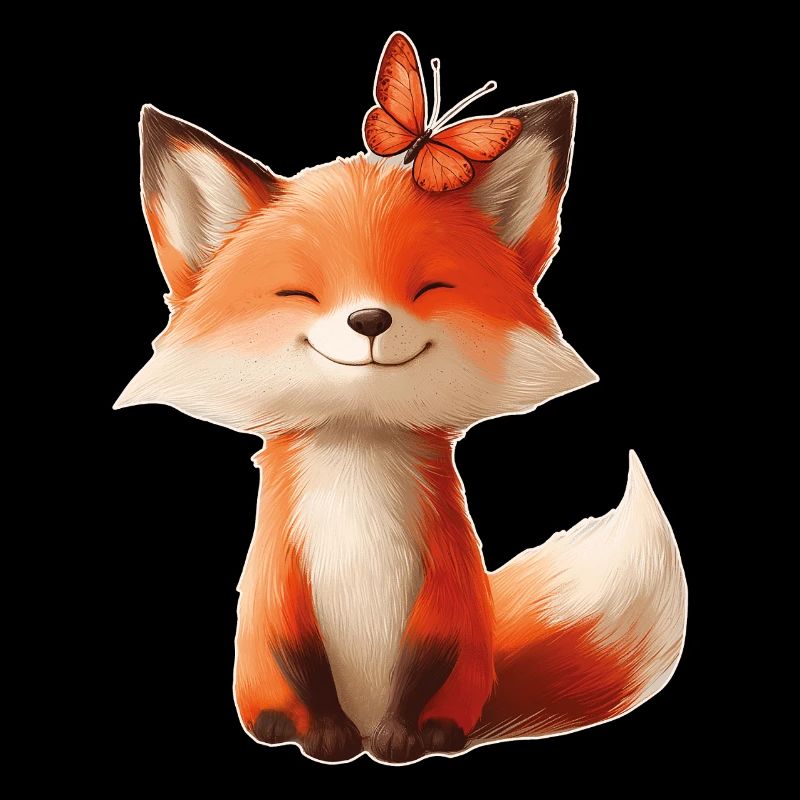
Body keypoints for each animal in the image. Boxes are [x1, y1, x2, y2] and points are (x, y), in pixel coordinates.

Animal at [114, 92, 687, 764]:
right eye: (299, 292)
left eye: (428, 286)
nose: (370, 318)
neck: (358, 459)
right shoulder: (279, 575)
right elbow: (297, 653)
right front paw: (326, 739)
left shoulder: (447, 572)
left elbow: (427, 653)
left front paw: (400, 741)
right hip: (258, 676)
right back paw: (285, 727)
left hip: (468, 673)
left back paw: (436, 734)